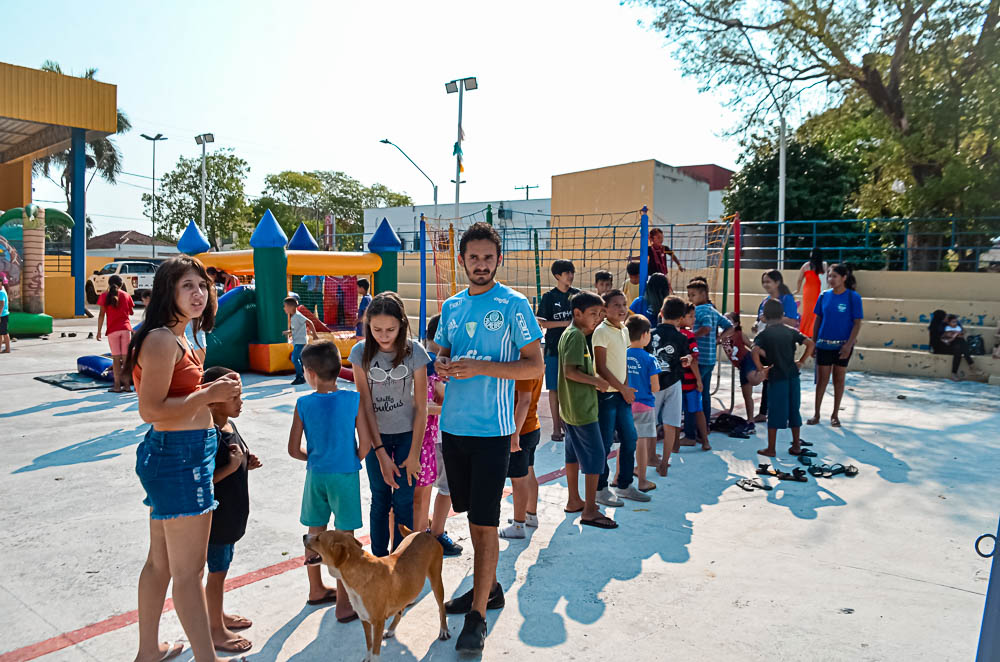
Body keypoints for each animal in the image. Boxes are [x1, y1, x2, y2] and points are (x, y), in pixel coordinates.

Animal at [300, 528, 450, 660]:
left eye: (319, 538)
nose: (304, 536)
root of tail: (423, 533)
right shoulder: (364, 619)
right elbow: (369, 645)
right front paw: (368, 657)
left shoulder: (378, 623)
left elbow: (375, 651)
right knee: (400, 609)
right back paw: (391, 630)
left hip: (436, 581)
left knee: (441, 608)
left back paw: (444, 630)